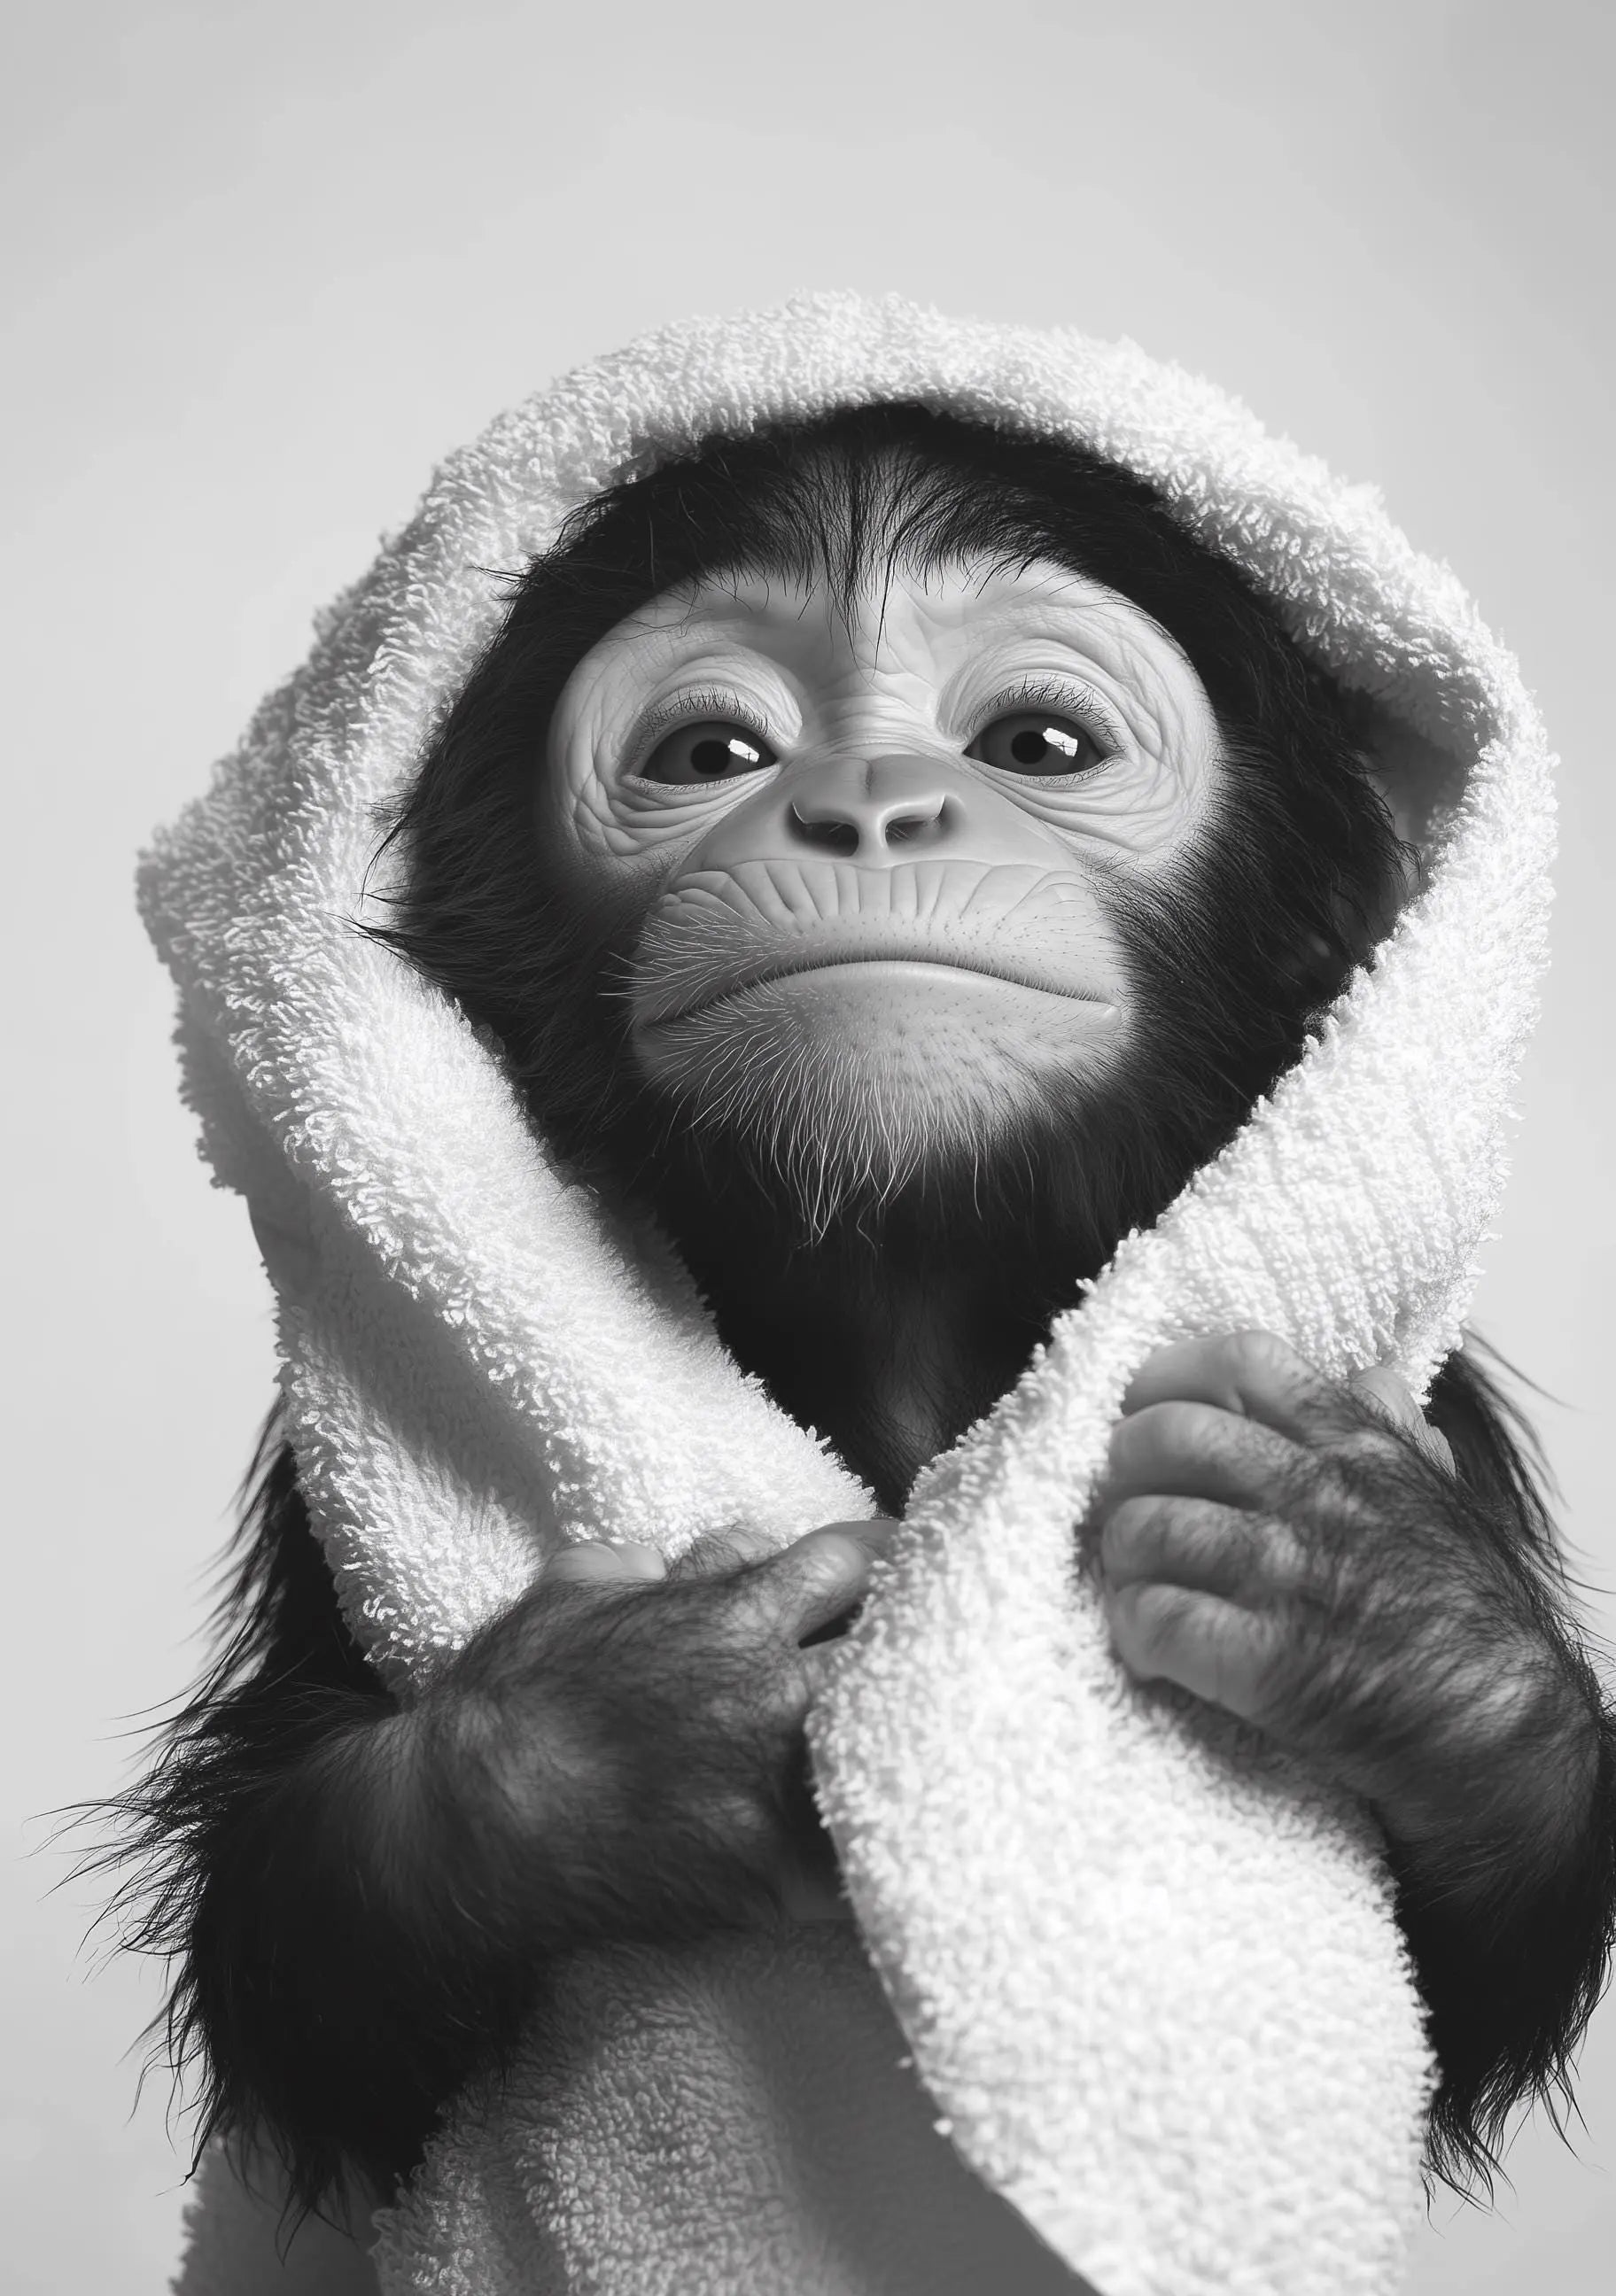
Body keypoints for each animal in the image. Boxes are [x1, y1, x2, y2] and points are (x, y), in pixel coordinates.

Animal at [120, 400, 1615, 2228]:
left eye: (1035, 740)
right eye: (709, 751)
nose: (867, 803)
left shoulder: (1439, 1412)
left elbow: (1461, 1971)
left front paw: (1396, 1624)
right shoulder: (307, 1500)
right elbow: (298, 1936)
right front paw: (608, 1736)